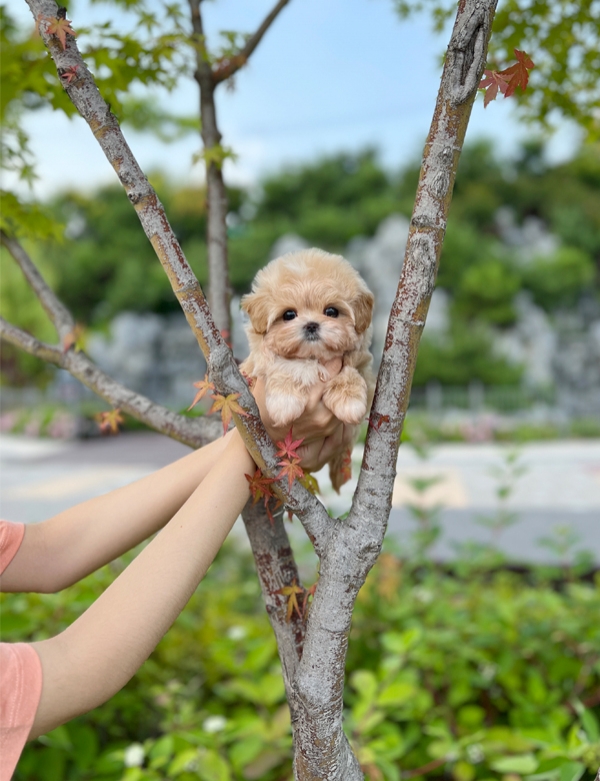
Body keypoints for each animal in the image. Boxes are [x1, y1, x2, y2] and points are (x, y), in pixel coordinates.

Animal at [240, 247, 376, 488]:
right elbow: (284, 367)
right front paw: (284, 404)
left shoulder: (363, 364)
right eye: (289, 315)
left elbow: (350, 372)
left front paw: (349, 402)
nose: (311, 325)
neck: (313, 357)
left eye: (331, 311)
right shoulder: (262, 361)